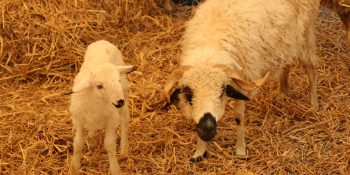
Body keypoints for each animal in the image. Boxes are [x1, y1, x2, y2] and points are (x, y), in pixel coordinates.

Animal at [69, 40, 137, 174]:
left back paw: (124, 149)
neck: (97, 102)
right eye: (99, 86)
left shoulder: (111, 119)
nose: (119, 101)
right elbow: (78, 143)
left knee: (124, 120)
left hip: (124, 94)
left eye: (118, 81)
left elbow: (109, 144)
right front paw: (75, 166)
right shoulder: (79, 119)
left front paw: (115, 169)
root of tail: (102, 41)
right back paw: (92, 136)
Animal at [161, 0, 320, 162]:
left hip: (306, 36)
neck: (210, 48)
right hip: (288, 43)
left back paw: (313, 104)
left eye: (222, 91)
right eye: (188, 93)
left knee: (311, 70)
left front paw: (240, 150)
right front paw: (199, 152)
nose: (208, 129)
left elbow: (239, 117)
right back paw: (284, 92)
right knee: (286, 63)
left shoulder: (243, 79)